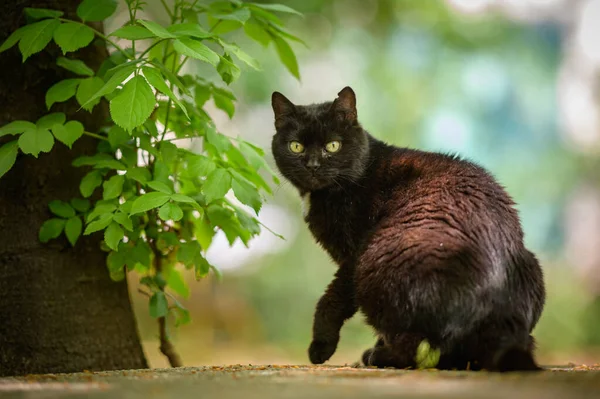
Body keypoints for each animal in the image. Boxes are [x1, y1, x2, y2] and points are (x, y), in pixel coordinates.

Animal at [270, 86, 548, 372]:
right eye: (296, 146)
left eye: (332, 146)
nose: (312, 165)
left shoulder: (354, 257)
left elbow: (331, 300)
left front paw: (320, 347)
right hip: (533, 267)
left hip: (373, 262)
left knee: (420, 350)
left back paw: (379, 357)